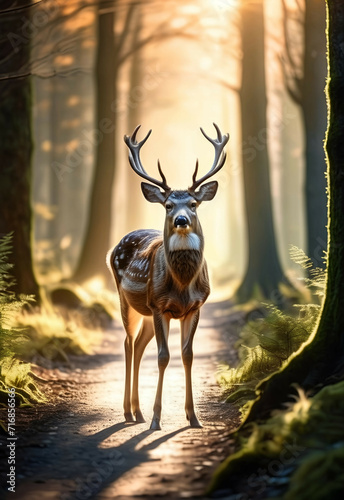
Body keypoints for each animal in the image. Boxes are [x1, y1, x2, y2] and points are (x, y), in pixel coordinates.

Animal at [107, 122, 228, 430]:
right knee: (128, 343)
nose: (181, 220)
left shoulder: (195, 307)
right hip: (128, 301)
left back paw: (137, 411)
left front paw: (194, 417)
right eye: (168, 205)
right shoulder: (159, 304)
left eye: (194, 204)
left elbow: (187, 355)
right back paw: (129, 412)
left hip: (148, 313)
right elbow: (163, 357)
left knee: (139, 345)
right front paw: (156, 419)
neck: (183, 284)